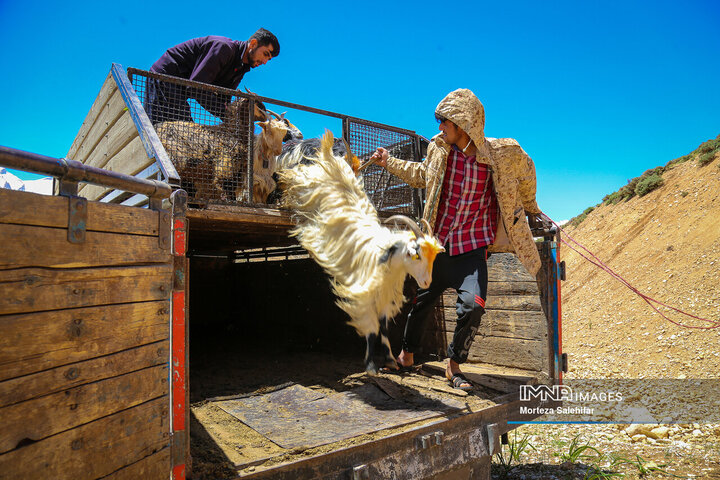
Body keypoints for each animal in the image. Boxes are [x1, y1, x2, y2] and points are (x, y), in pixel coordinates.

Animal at [278, 131, 442, 376]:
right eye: (415, 254)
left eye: (433, 257)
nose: (426, 282)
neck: (385, 259)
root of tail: (326, 153)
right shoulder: (363, 293)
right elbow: (372, 329)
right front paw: (371, 365)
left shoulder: (383, 295)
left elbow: (383, 326)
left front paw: (390, 359)